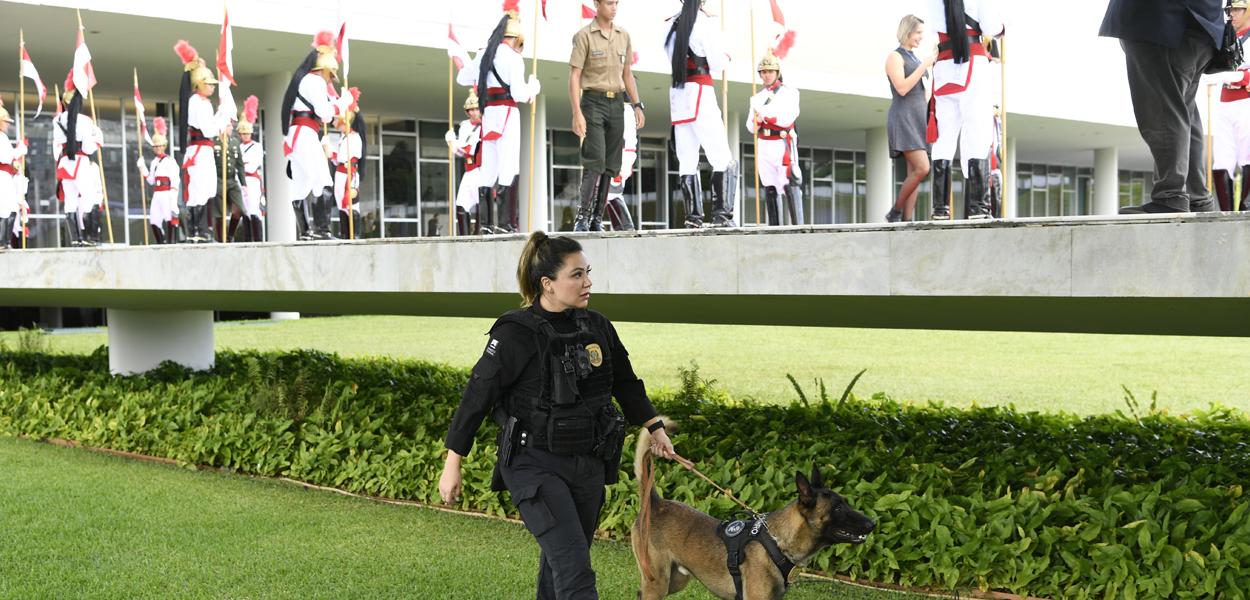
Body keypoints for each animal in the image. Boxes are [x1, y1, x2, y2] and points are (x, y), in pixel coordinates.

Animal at [630, 425, 875, 597]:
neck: (777, 541)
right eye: (837, 508)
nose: (873, 523)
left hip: (675, 580)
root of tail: (655, 503)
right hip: (657, 582)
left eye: (845, 503)